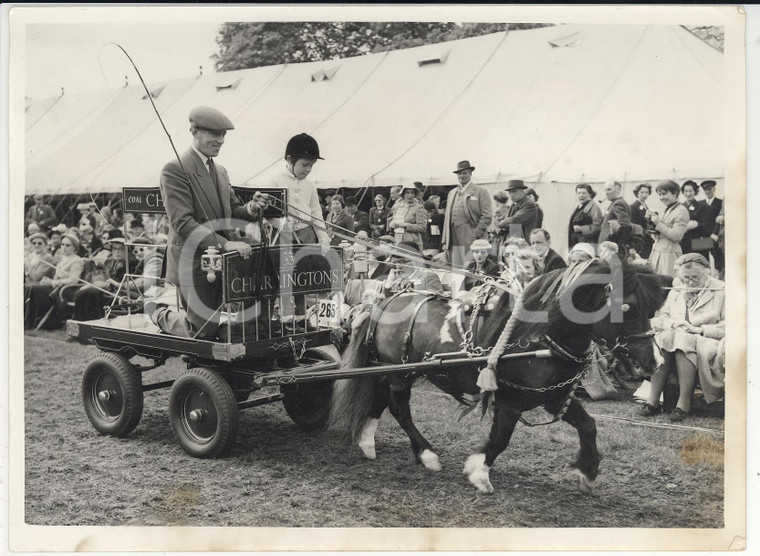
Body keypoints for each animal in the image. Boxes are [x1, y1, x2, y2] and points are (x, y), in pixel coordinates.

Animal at [330, 260, 664, 490]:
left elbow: (589, 425)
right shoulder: (510, 401)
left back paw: (367, 441)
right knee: (399, 408)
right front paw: (479, 470)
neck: (538, 337)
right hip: (401, 374)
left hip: (395, 372)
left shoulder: (554, 396)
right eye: (627, 308)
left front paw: (588, 471)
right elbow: (501, 438)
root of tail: (385, 301)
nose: (655, 361)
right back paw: (426, 454)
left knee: (381, 399)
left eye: (652, 309)